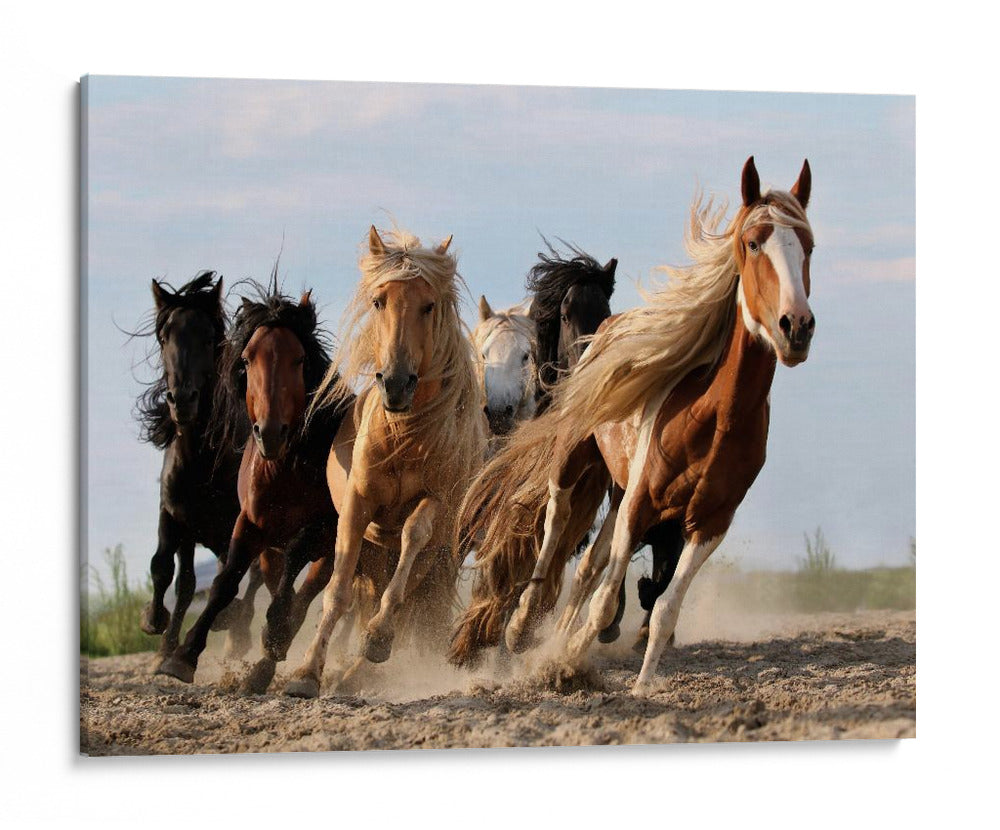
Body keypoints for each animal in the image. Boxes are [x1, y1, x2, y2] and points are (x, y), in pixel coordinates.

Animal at [133, 272, 258, 657]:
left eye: (209, 338)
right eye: (164, 337)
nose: (183, 400)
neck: (200, 463)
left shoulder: (233, 524)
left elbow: (229, 575)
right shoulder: (176, 516)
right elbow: (166, 570)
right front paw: (156, 626)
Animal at [157, 278, 352, 692]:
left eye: (299, 359)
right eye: (247, 360)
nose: (270, 432)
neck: (286, 468)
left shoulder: (323, 528)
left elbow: (294, 569)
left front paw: (273, 633)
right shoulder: (249, 523)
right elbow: (226, 581)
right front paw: (183, 656)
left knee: (306, 594)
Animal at [284, 226, 487, 699]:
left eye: (428, 305)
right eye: (379, 301)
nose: (395, 383)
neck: (404, 436)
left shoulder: (435, 504)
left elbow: (412, 538)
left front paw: (377, 638)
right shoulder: (358, 506)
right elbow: (337, 592)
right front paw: (306, 673)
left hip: (431, 559)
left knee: (405, 595)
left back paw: (362, 665)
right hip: (375, 555)